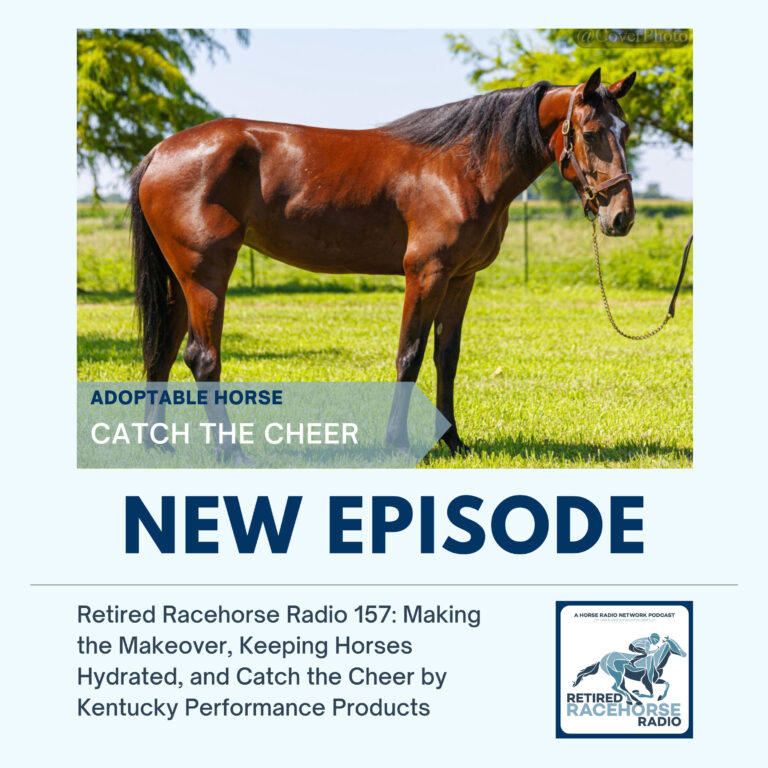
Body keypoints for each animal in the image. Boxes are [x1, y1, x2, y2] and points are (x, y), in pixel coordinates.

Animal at [130, 67, 636, 462]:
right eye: (591, 133)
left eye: (626, 131)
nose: (621, 216)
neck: (461, 167)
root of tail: (160, 152)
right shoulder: (426, 274)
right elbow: (409, 355)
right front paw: (399, 443)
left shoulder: (461, 279)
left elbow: (446, 358)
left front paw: (453, 441)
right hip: (206, 274)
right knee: (202, 357)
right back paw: (230, 450)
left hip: (180, 279)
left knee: (164, 351)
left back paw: (158, 444)